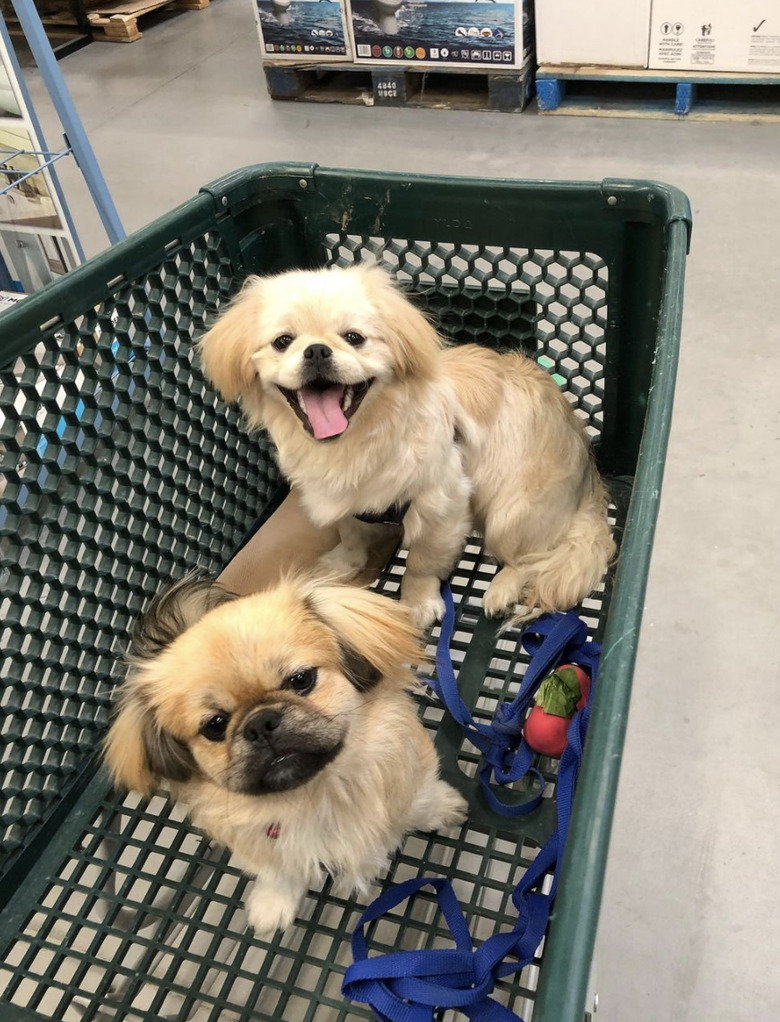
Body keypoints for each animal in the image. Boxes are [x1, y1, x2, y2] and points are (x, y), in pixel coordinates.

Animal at [105, 576, 466, 936]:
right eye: (215, 725)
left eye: (301, 679)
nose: (260, 724)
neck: (318, 794)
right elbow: (280, 872)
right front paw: (272, 904)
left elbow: (420, 800)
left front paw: (443, 808)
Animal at [198, 267, 613, 625]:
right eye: (283, 342)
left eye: (354, 338)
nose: (316, 350)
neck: (354, 443)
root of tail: (589, 482)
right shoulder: (346, 502)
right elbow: (351, 536)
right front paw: (342, 564)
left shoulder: (441, 509)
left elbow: (421, 564)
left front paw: (418, 603)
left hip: (509, 513)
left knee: (529, 557)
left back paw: (501, 589)